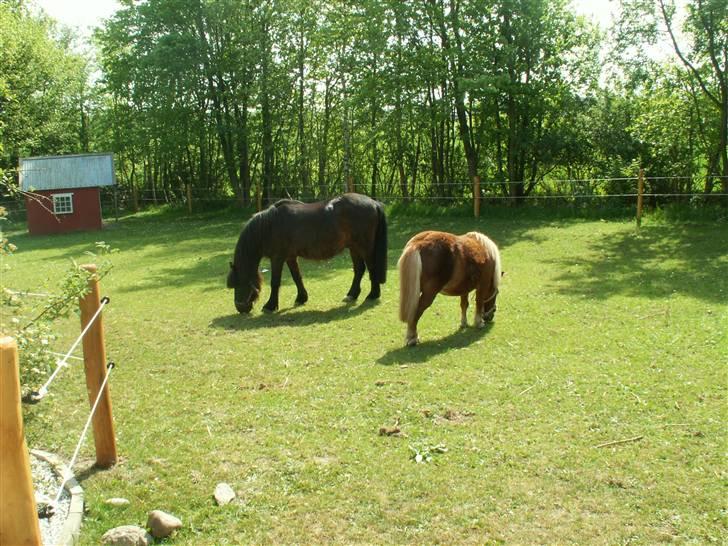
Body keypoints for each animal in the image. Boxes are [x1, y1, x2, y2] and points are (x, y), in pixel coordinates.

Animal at [227, 193, 388, 313]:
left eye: (238, 282)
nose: (240, 308)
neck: (269, 226)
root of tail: (374, 203)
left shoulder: (277, 258)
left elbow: (275, 282)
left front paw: (270, 306)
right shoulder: (290, 257)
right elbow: (297, 277)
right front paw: (301, 298)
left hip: (364, 247)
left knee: (371, 268)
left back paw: (373, 295)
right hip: (354, 247)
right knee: (359, 269)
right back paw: (352, 295)